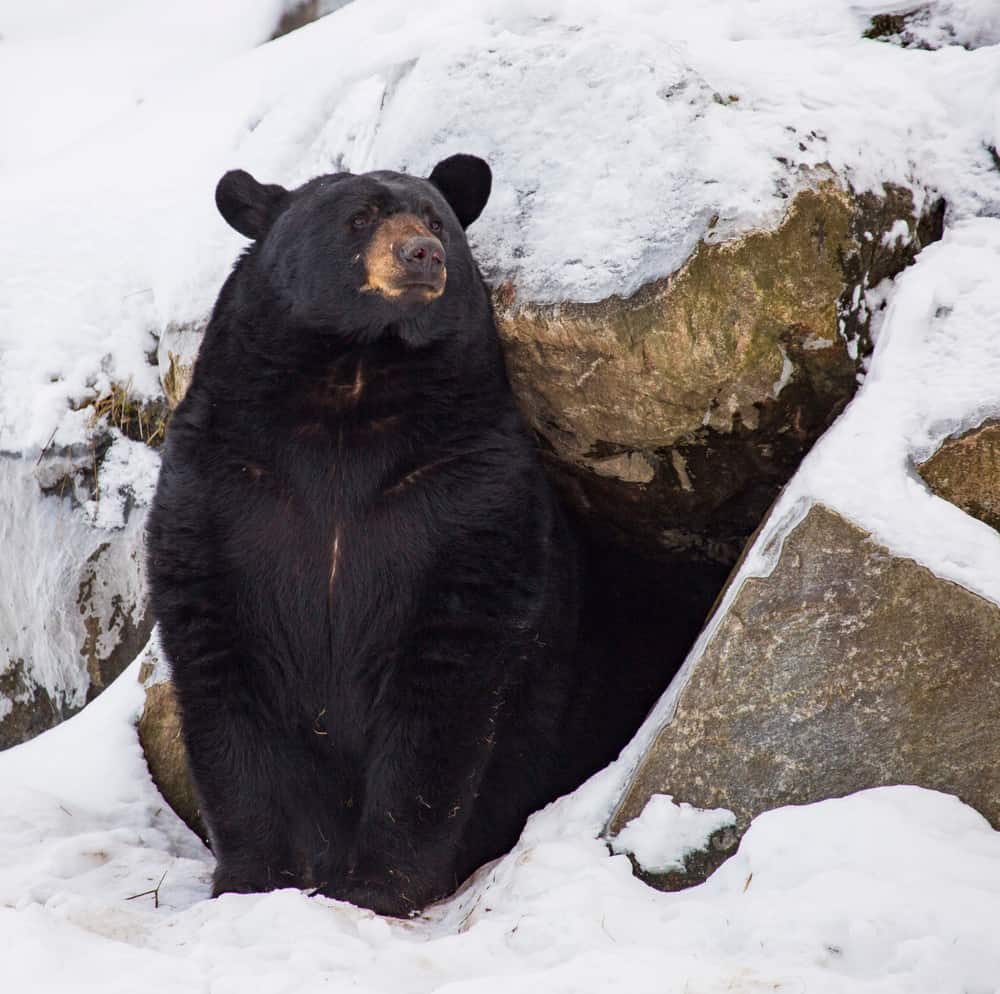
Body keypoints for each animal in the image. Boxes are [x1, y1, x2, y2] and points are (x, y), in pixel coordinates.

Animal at [146, 155, 640, 916]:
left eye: (436, 219)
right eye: (359, 218)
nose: (423, 255)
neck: (352, 385)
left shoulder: (467, 490)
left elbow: (444, 685)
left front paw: (379, 884)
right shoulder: (221, 486)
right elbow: (221, 670)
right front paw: (253, 875)